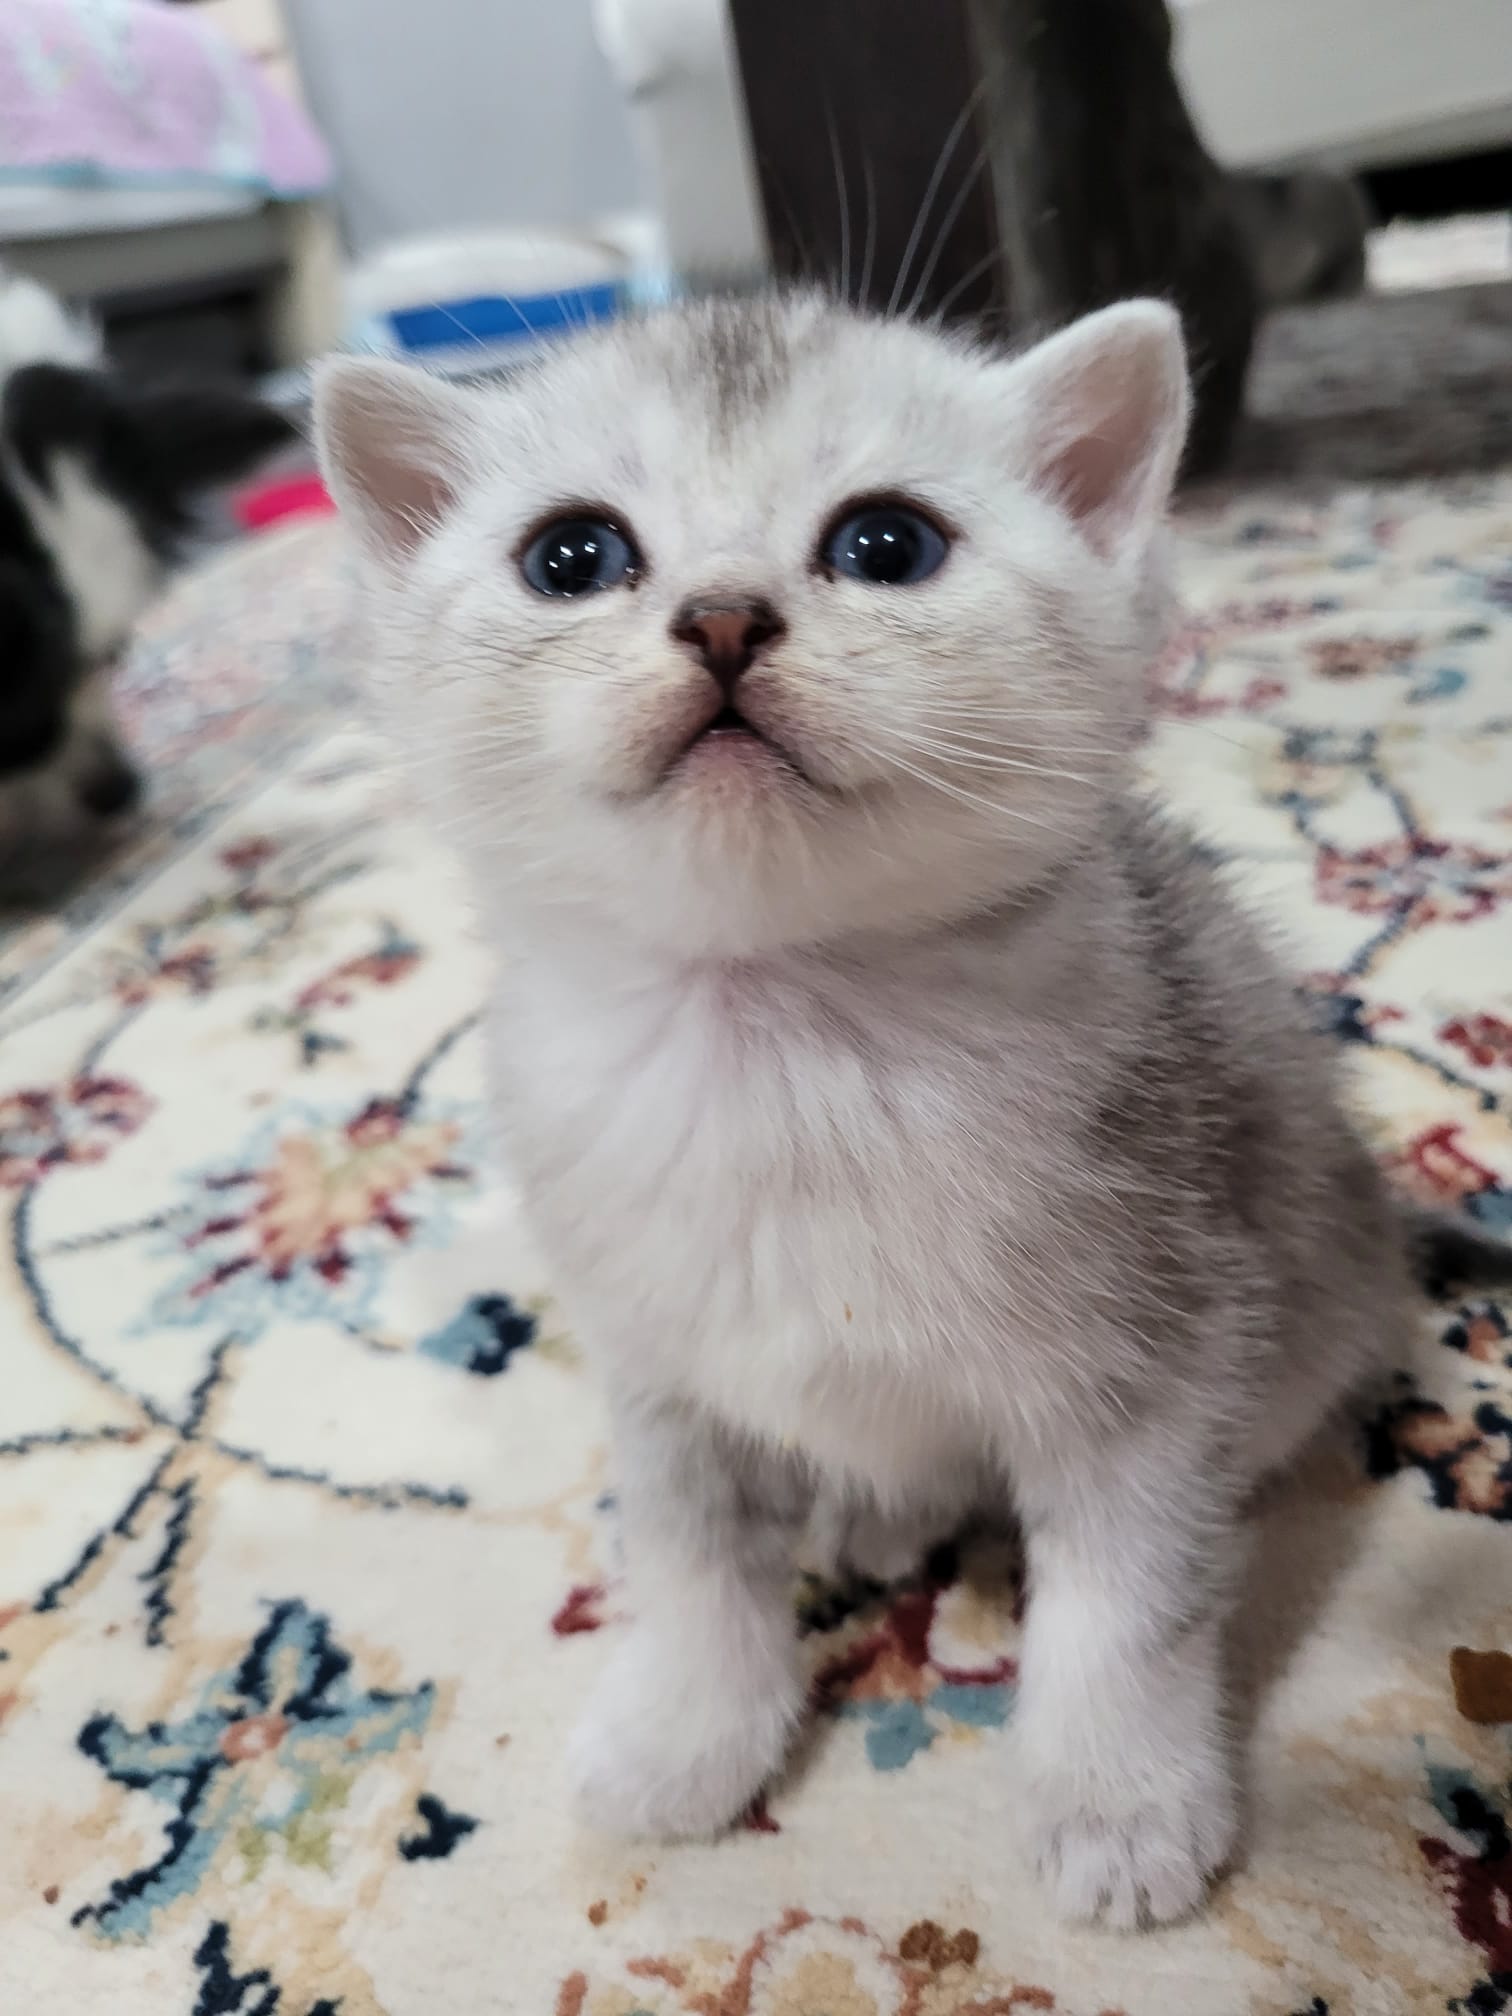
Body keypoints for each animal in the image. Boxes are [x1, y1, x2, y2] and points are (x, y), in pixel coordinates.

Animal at [316, 293, 1497, 1929]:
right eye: (572, 555)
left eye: (887, 543)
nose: (723, 618)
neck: (786, 1054)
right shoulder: (657, 1366)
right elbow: (690, 1558)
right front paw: (687, 1728)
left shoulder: (1164, 1346)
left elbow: (1126, 1597)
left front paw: (1118, 1800)